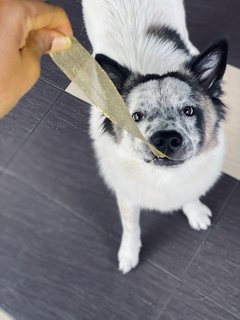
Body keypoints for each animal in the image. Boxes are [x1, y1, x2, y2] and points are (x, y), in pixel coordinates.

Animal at [81, 0, 228, 274]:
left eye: (188, 110)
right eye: (136, 117)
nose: (166, 140)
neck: (164, 177)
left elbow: (189, 193)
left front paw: (195, 213)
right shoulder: (127, 194)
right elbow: (130, 225)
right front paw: (129, 254)